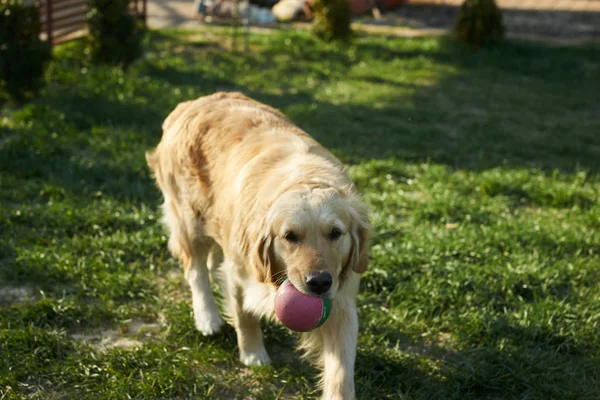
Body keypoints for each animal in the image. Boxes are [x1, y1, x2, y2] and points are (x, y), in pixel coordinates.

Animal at [146, 92, 370, 398]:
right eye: (290, 236)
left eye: (335, 233)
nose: (319, 282)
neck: (304, 178)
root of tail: (191, 102)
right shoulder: (240, 271)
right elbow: (244, 316)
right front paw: (253, 354)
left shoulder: (342, 298)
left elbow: (341, 370)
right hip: (190, 218)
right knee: (195, 269)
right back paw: (207, 318)